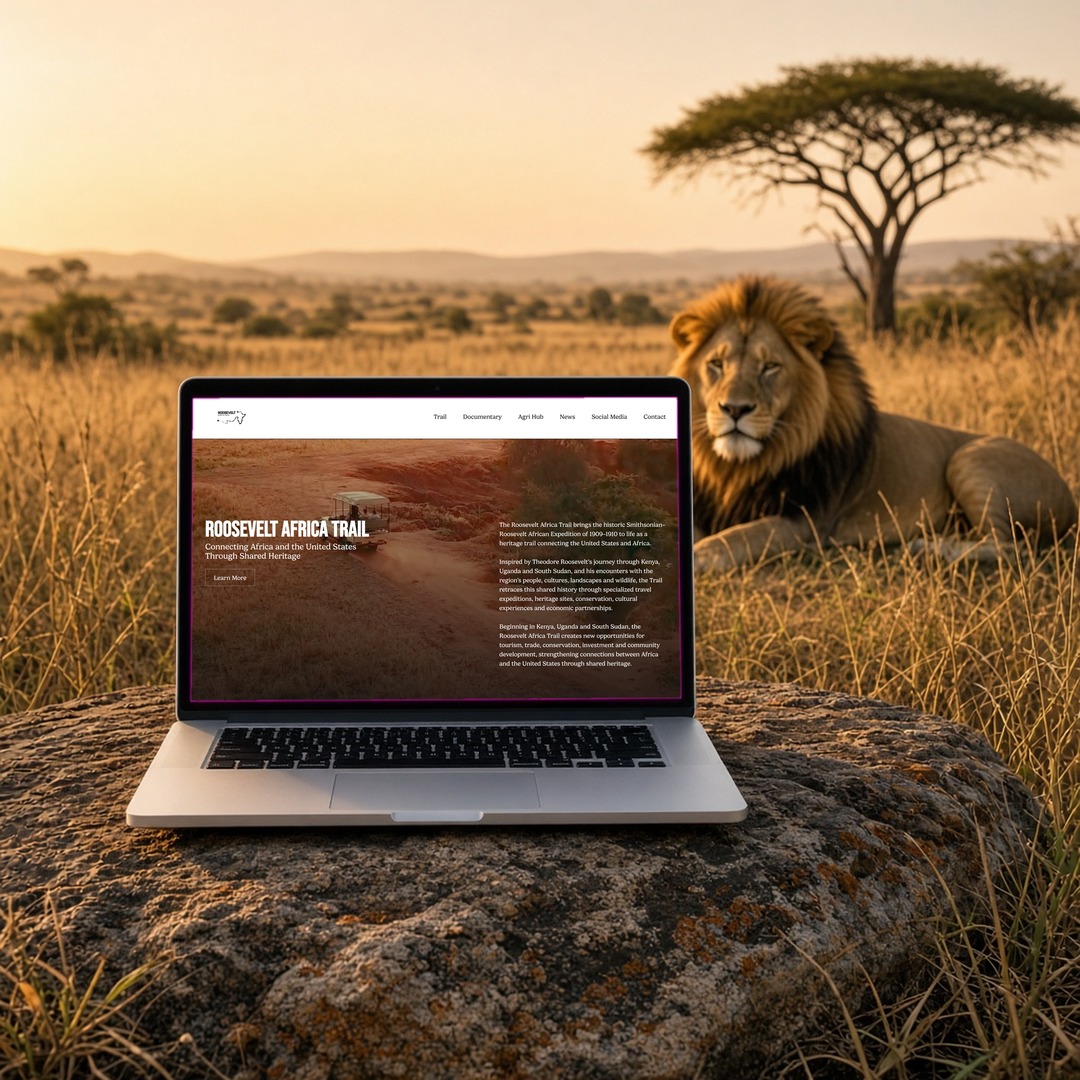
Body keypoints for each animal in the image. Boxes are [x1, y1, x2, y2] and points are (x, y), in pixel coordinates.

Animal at [669, 276, 1077, 571]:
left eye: (770, 367)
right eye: (716, 364)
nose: (734, 409)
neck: (737, 468)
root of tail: (1070, 500)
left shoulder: (805, 522)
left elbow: (737, 537)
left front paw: (700, 556)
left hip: (971, 459)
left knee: (1013, 548)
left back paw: (928, 547)